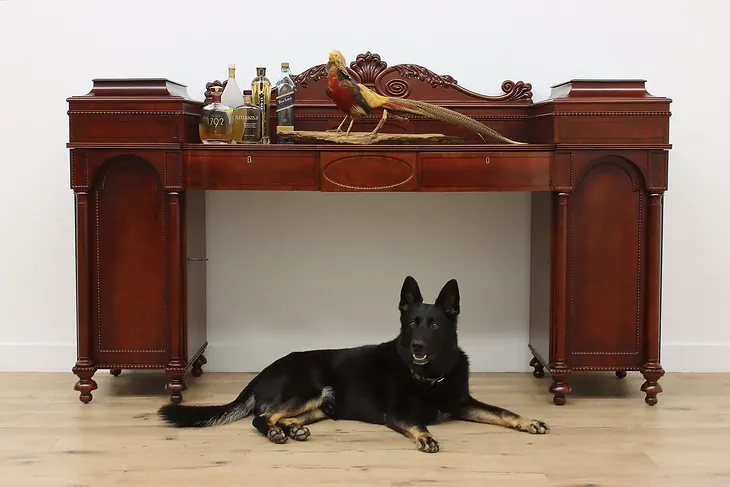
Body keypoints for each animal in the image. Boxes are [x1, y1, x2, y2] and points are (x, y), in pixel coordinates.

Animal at [158, 276, 544, 452]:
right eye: (412, 323)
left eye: (434, 325)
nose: (416, 345)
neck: (429, 377)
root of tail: (261, 374)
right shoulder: (398, 414)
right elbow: (419, 424)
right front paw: (426, 437)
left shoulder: (464, 403)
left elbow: (502, 411)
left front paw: (528, 421)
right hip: (309, 388)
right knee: (261, 416)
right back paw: (277, 432)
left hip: (321, 406)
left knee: (280, 416)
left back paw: (292, 430)